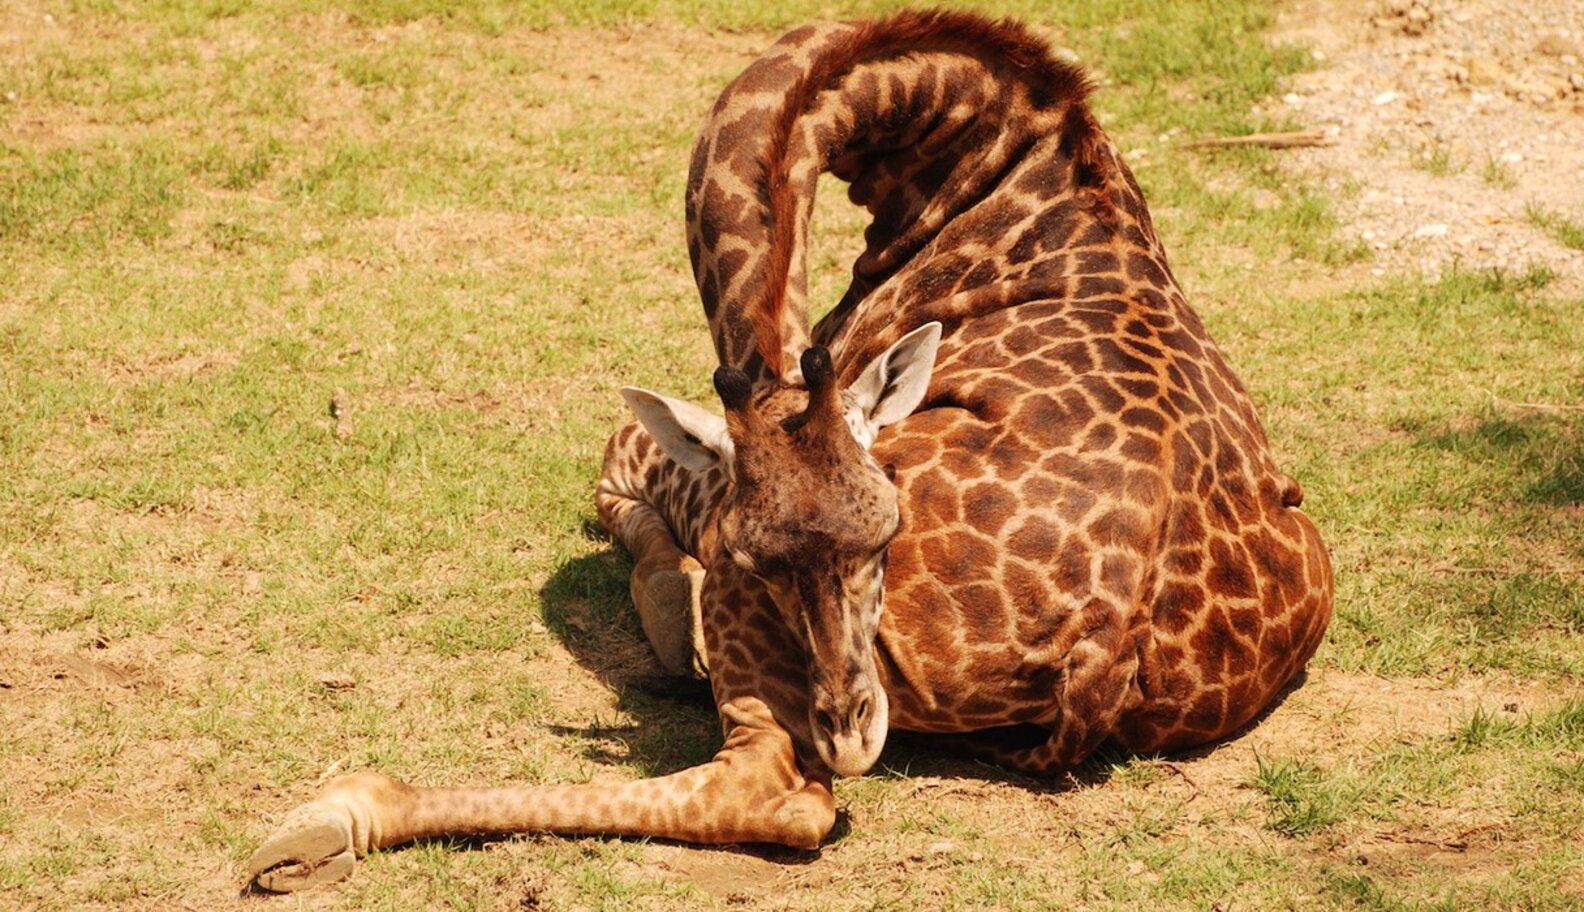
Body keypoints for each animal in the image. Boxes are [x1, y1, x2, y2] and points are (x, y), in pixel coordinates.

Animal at [247, 9, 1333, 891]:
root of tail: (1108, 636)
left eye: (887, 538)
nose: (851, 730)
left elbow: (627, 449)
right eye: (770, 556)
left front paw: (666, 598)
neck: (995, 173)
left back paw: (326, 822)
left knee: (769, 790)